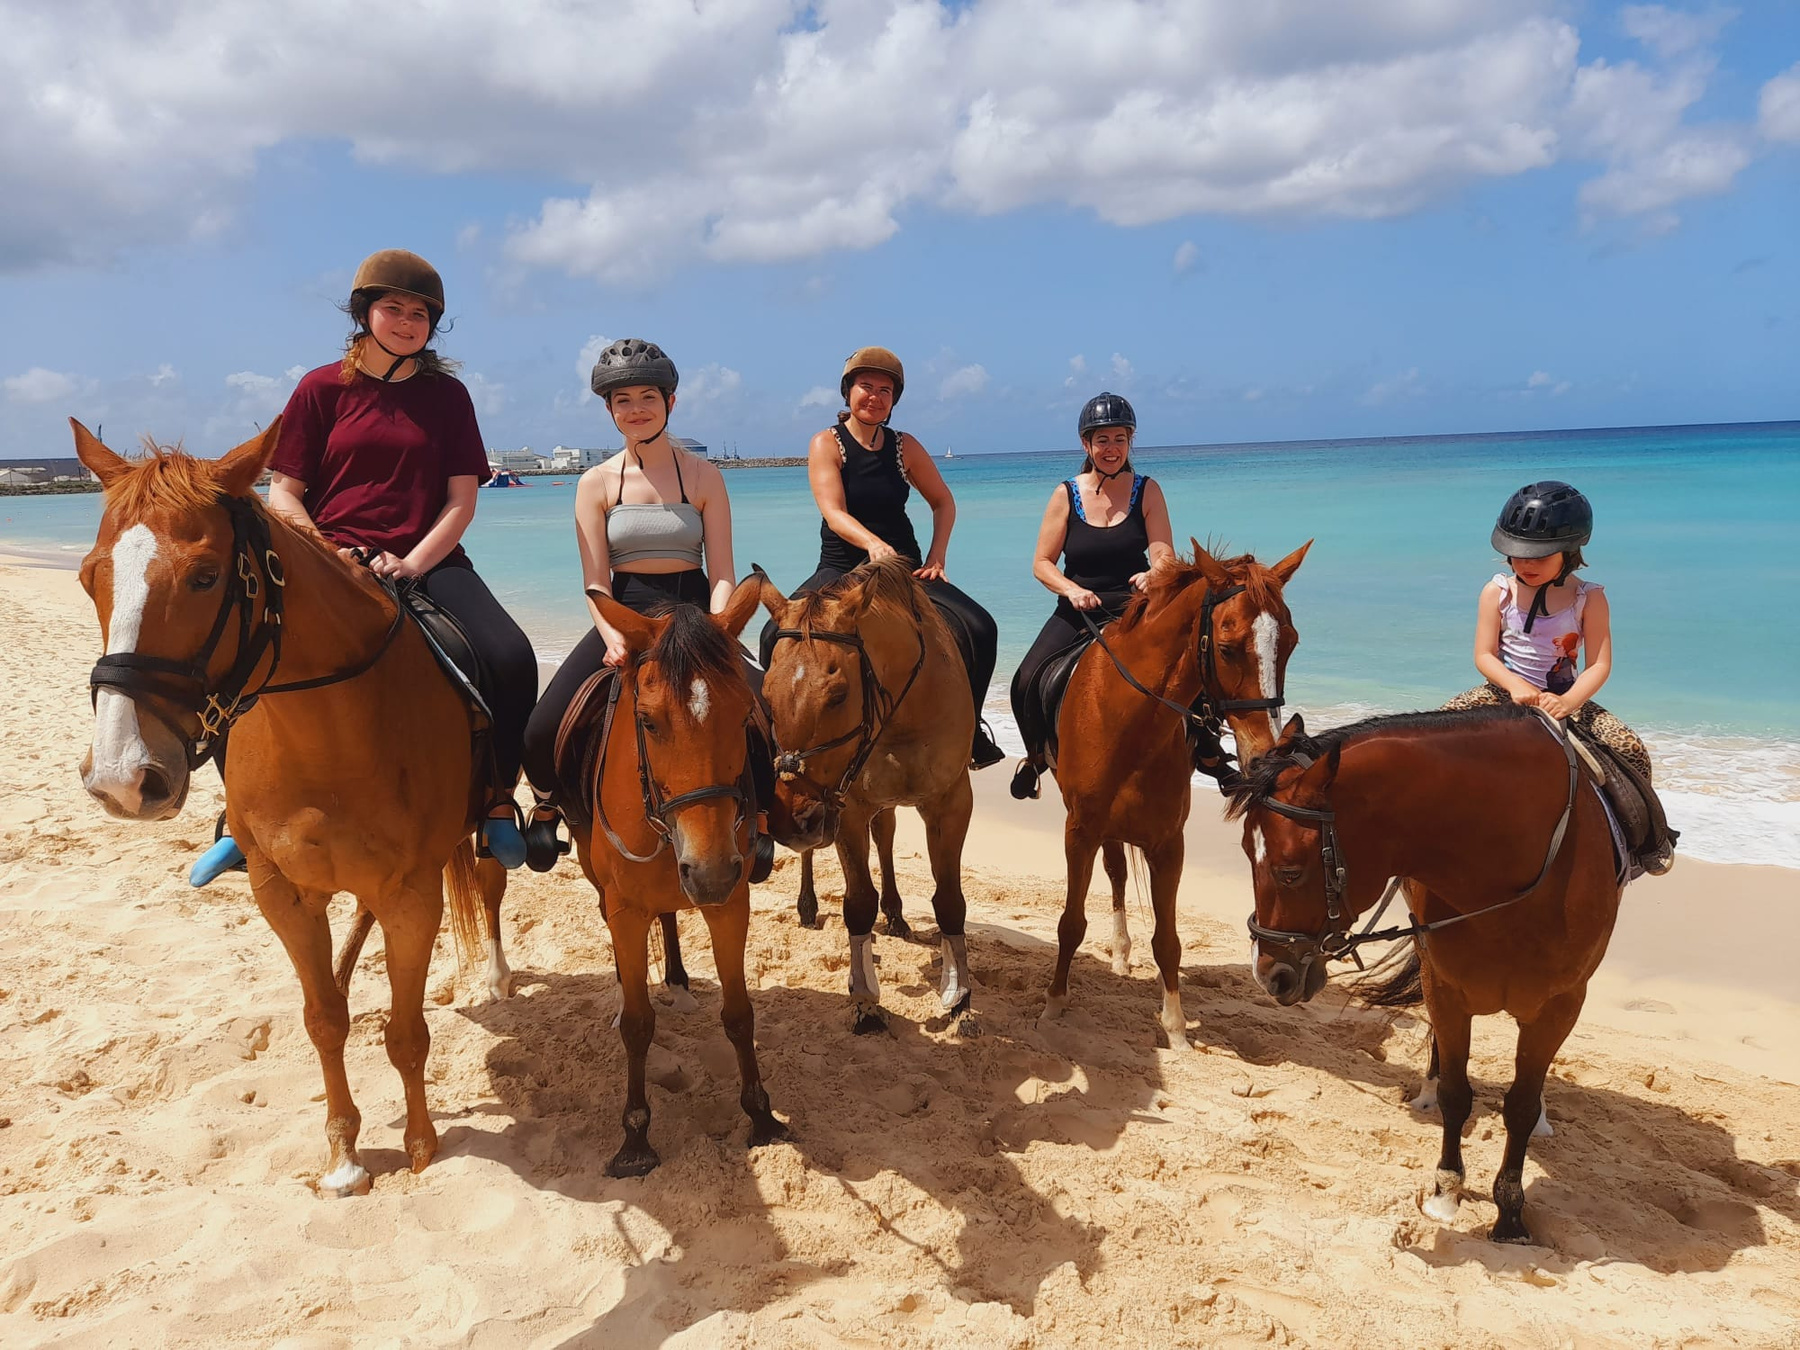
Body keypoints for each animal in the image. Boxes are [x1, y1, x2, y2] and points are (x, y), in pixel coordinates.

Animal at [71, 417, 507, 1202]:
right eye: (92, 576)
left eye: (205, 576)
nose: (122, 779)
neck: (326, 735)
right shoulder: (281, 891)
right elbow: (324, 1020)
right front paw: (343, 1154)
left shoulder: (413, 893)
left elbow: (406, 1033)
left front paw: (421, 1147)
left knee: (489, 883)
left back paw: (493, 974)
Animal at [565, 586, 784, 1180]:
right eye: (648, 720)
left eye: (743, 715)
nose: (709, 872)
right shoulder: (625, 910)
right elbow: (639, 1026)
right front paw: (635, 1139)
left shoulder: (731, 904)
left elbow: (740, 1014)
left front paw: (761, 1115)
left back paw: (680, 980)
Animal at [759, 554, 986, 1044]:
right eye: (766, 695)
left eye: (839, 695)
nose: (792, 823)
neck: (905, 708)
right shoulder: (847, 809)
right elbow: (858, 902)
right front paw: (865, 1003)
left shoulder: (951, 803)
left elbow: (950, 901)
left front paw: (960, 1000)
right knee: (819, 854)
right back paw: (808, 905)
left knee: (885, 835)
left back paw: (897, 914)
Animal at [1044, 543, 1310, 1044]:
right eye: (1226, 649)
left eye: (1290, 643)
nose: (1267, 755)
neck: (1131, 721)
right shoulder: (1079, 832)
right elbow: (1071, 922)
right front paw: (1053, 1004)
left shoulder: (1169, 844)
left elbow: (1168, 940)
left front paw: (1175, 1027)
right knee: (1114, 873)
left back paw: (1121, 952)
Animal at [1231, 709, 1627, 1245]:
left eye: (1289, 871)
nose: (1268, 975)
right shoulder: (1446, 991)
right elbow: (1456, 1094)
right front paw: (1446, 1193)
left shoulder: (1560, 1006)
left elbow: (1520, 1106)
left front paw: (1510, 1215)